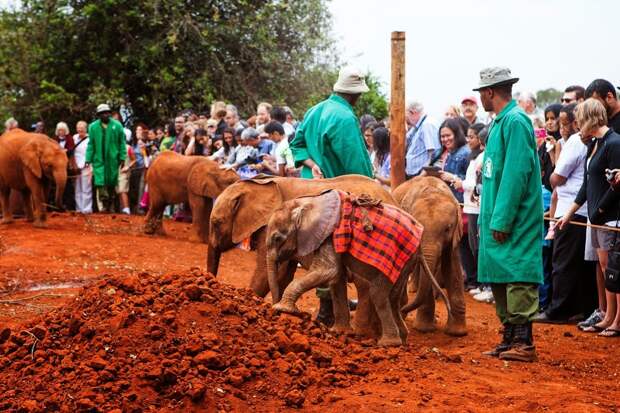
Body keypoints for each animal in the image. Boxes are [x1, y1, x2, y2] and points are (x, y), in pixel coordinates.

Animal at [264, 192, 448, 346]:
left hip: (396, 257)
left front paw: (283, 309)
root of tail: (420, 247)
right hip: (405, 263)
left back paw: (387, 344)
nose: (273, 309)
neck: (309, 202)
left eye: (277, 238)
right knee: (393, 298)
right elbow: (336, 277)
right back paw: (402, 340)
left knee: (378, 294)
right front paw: (339, 332)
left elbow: (327, 270)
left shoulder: (329, 236)